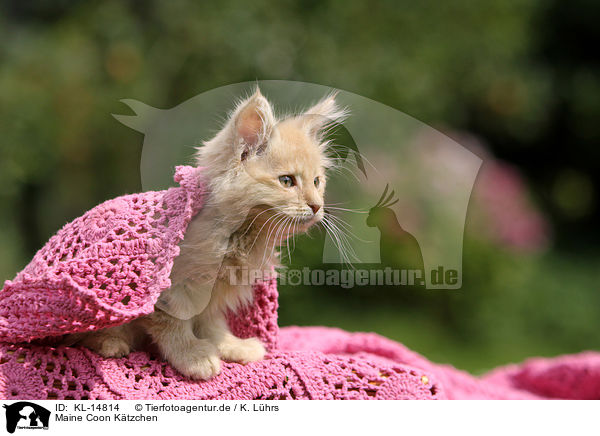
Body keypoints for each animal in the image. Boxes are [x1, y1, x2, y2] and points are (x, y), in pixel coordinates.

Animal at [70, 87, 346, 378]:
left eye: (317, 182)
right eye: (286, 181)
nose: (317, 206)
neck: (239, 235)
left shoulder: (213, 294)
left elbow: (211, 323)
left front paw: (230, 346)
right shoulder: (169, 289)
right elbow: (172, 323)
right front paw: (193, 356)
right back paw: (111, 343)